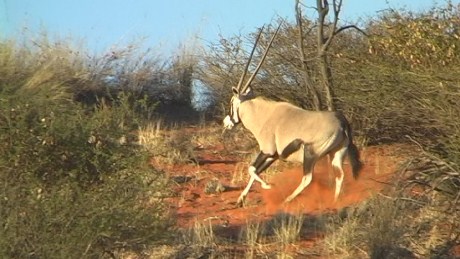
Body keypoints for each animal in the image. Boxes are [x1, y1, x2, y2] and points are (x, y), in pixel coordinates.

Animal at [223, 24, 362, 207]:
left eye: (231, 102)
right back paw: (335, 201)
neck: (262, 114)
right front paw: (240, 199)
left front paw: (268, 186)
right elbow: (255, 171)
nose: (226, 123)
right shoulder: (273, 155)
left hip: (311, 153)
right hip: (336, 153)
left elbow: (251, 169)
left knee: (308, 178)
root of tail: (342, 122)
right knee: (340, 175)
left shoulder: (267, 150)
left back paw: (287, 200)